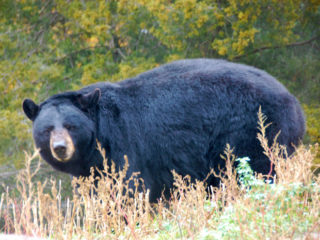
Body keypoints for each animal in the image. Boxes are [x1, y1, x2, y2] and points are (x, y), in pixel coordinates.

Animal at [22, 58, 304, 202]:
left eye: (71, 126)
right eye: (48, 129)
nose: (60, 148)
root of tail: (294, 101)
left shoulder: (124, 145)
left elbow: (129, 190)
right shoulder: (92, 169)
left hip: (253, 132)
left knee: (259, 171)